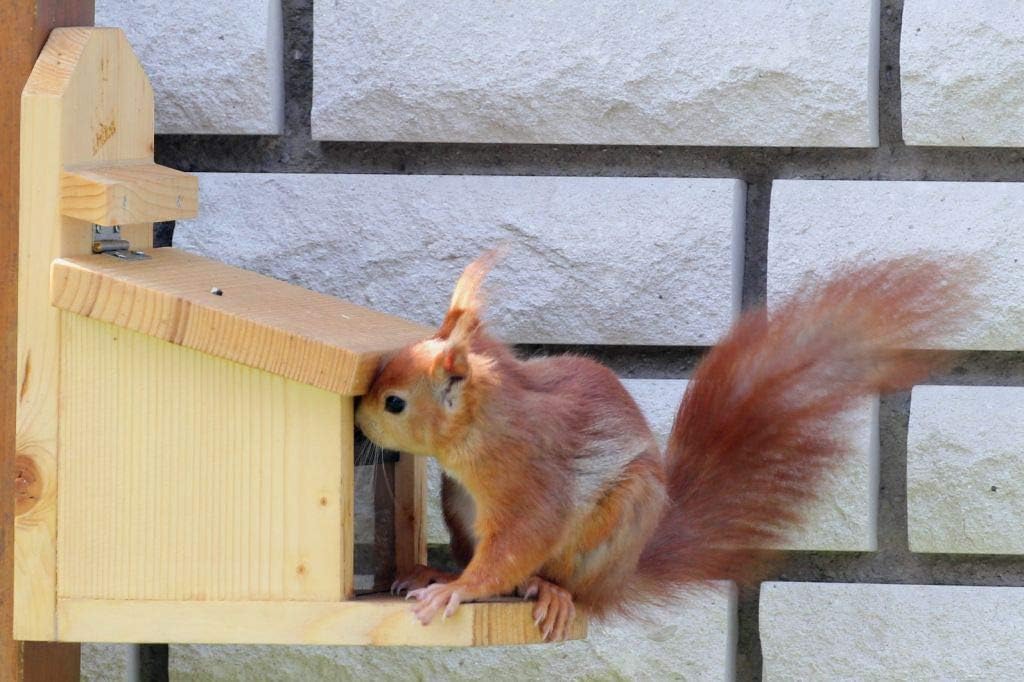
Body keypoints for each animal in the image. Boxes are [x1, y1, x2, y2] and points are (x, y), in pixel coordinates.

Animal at [354, 250, 972, 641]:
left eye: (395, 403)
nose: (357, 417)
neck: (486, 426)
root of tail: (623, 573)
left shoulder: (528, 481)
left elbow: (513, 546)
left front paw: (458, 593)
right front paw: (444, 581)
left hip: (613, 527)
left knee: (570, 588)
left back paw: (547, 591)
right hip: (458, 505)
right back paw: (434, 571)